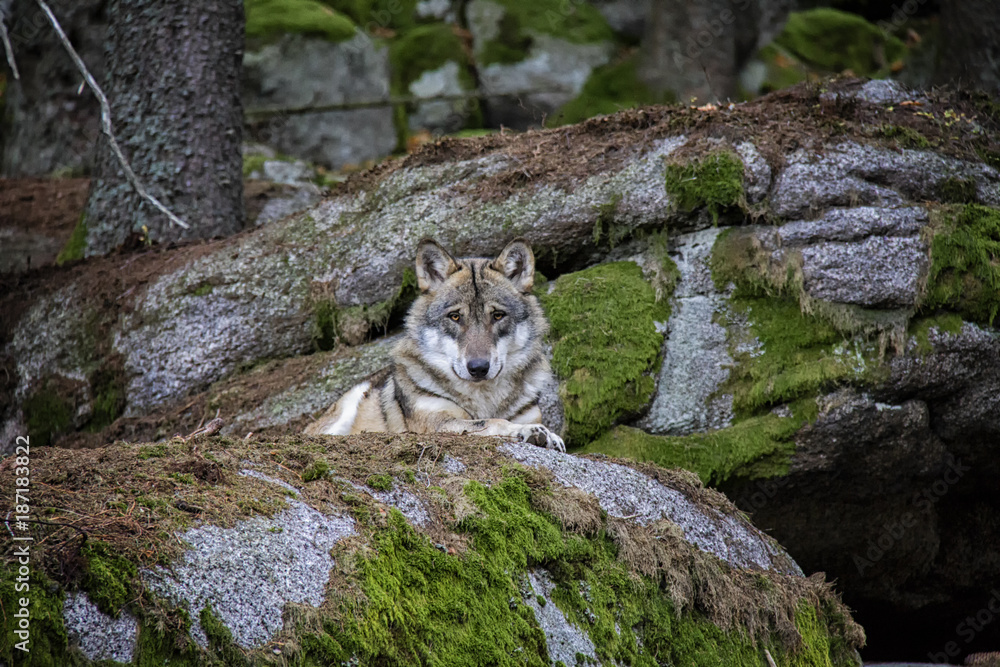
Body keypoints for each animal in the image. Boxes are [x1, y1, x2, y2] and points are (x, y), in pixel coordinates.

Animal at [304, 238, 565, 451]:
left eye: (498, 316)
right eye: (455, 317)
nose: (478, 368)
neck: (483, 399)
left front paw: (549, 436)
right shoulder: (437, 423)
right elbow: (492, 422)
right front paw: (524, 431)